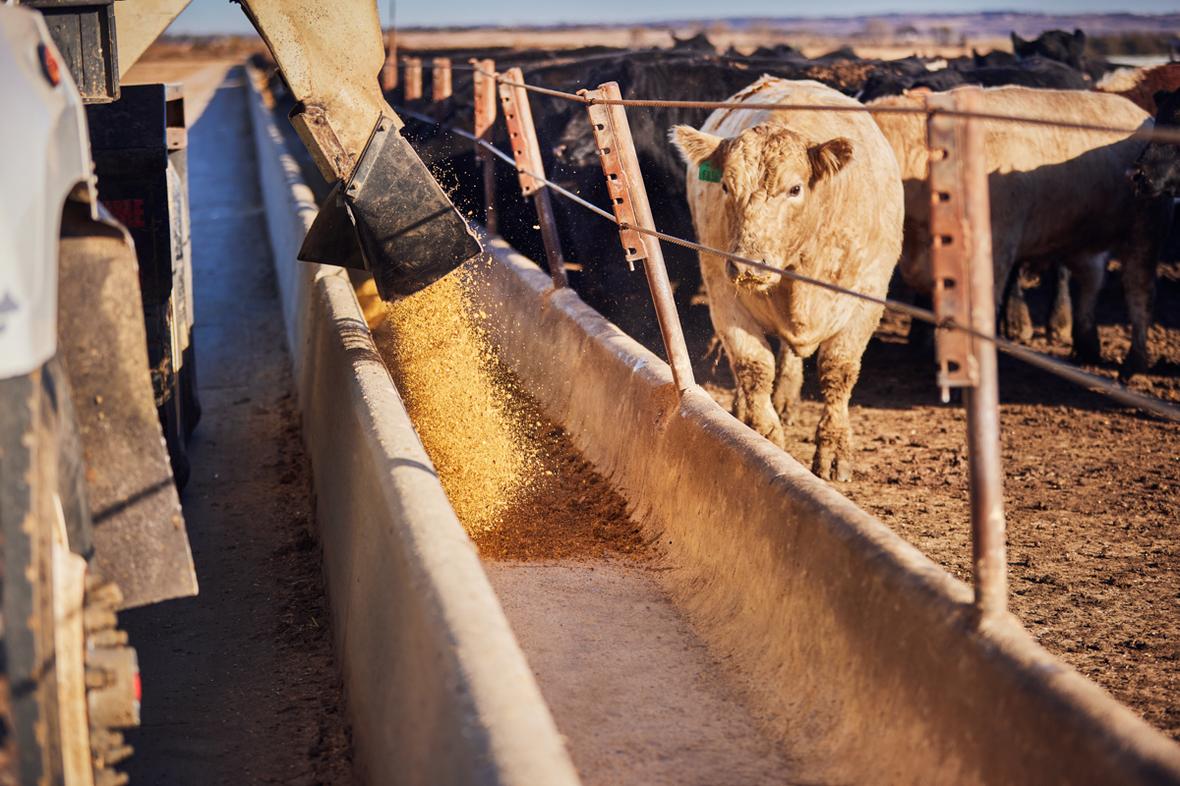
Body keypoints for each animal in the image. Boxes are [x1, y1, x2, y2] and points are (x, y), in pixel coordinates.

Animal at [671, 77, 904, 481]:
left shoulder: (868, 296)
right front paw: (764, 439)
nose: (748, 265)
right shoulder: (722, 291)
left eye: (795, 189)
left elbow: (838, 369)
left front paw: (835, 449)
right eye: (726, 187)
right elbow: (753, 366)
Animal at [868, 86, 1165, 376]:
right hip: (1080, 241)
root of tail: (1140, 112)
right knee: (1091, 283)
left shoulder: (994, 252)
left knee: (1139, 291)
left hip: (1143, 231)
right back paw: (1087, 346)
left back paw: (1135, 361)